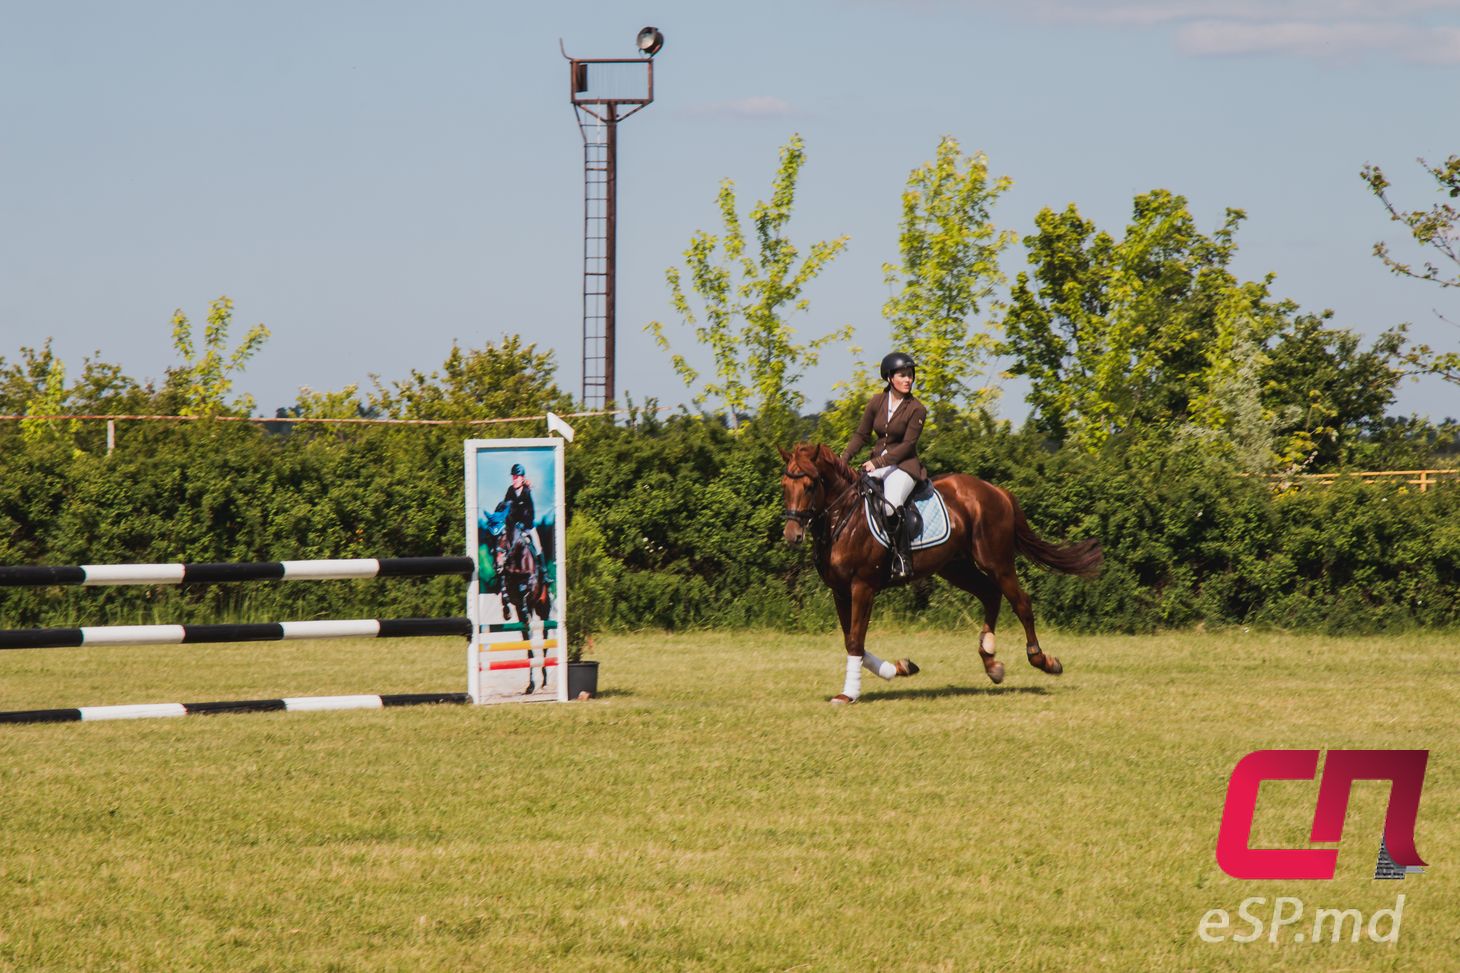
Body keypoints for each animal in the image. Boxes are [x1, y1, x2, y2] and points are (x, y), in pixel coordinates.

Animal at [782, 444, 1097, 701]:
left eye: (810, 485)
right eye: (785, 484)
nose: (792, 534)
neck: (843, 518)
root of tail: (997, 491)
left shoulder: (862, 587)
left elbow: (856, 640)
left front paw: (849, 693)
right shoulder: (840, 591)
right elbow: (851, 640)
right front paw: (898, 668)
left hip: (996, 561)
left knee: (1020, 602)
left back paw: (1043, 660)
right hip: (955, 567)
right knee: (990, 594)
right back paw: (991, 662)